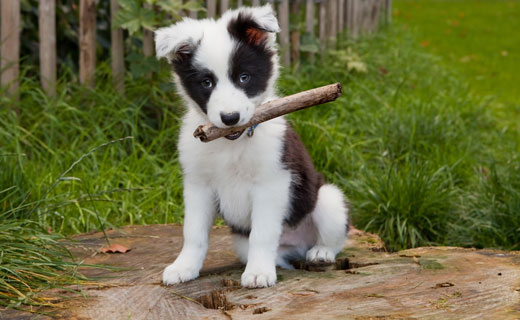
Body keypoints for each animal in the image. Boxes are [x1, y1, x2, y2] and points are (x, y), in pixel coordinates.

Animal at [154, 3, 350, 288]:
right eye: (206, 83)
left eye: (244, 77)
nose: (230, 118)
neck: (231, 145)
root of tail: (297, 244)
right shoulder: (198, 185)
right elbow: (193, 232)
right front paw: (184, 267)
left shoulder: (271, 182)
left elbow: (263, 233)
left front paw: (258, 273)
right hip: (241, 241)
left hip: (327, 199)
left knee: (334, 237)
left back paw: (320, 252)